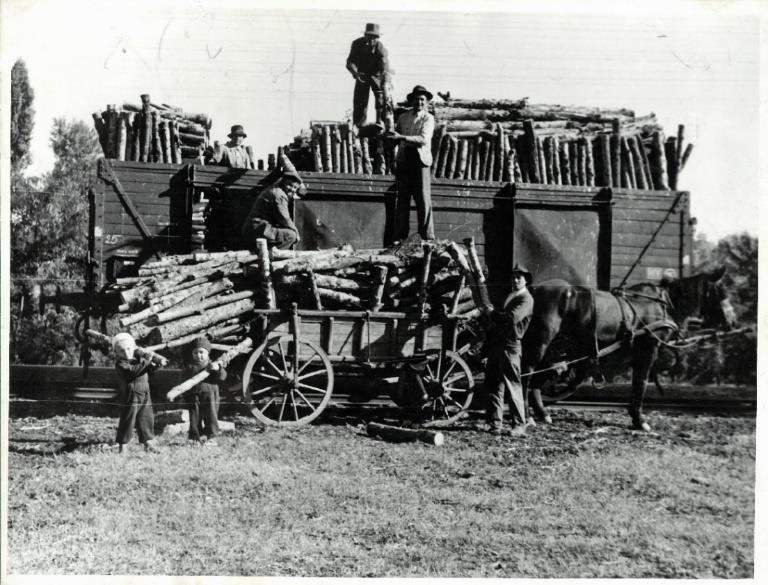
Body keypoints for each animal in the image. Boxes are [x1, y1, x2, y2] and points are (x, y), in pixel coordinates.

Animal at [520, 268, 732, 428]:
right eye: (721, 292)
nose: (730, 323)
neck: (662, 304)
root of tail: (534, 289)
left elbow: (638, 382)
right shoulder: (649, 347)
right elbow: (641, 381)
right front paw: (639, 419)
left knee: (538, 378)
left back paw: (541, 413)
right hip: (540, 342)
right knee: (526, 375)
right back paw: (527, 416)